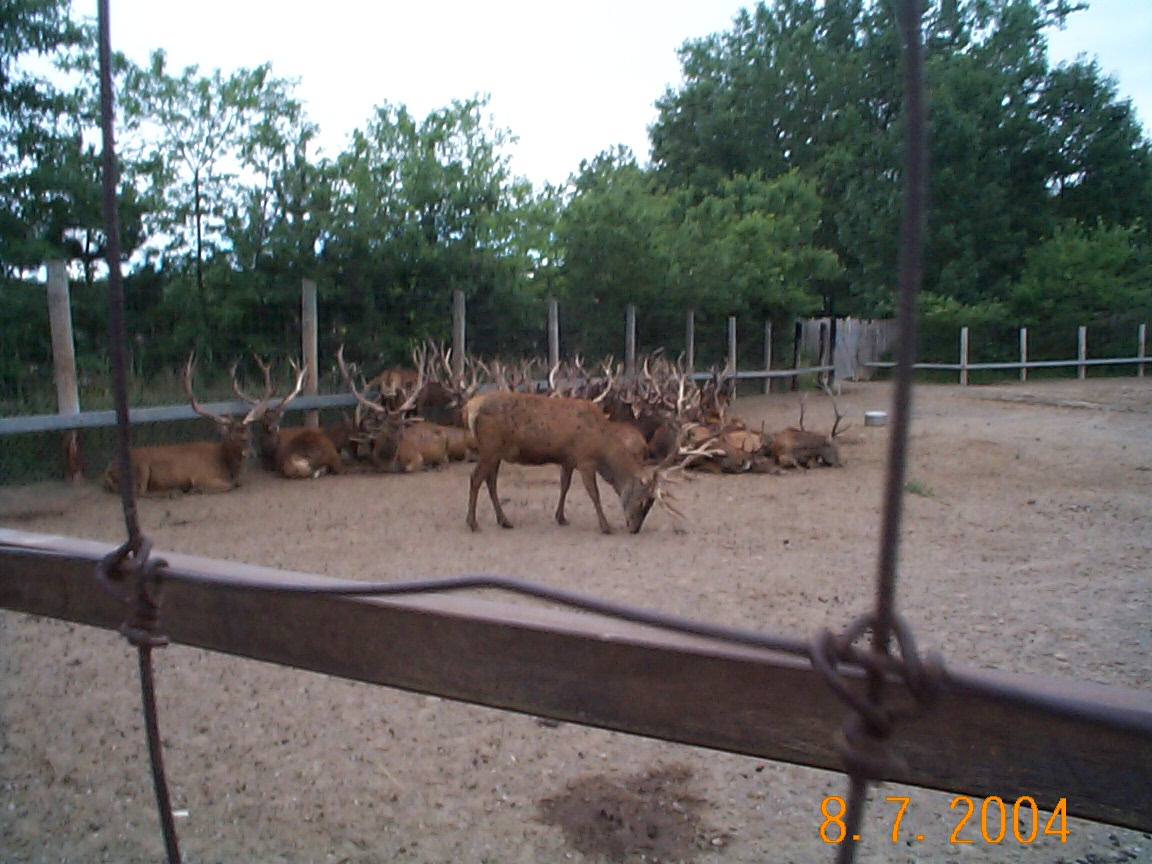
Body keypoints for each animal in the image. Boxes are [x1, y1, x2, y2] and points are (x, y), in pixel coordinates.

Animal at [104, 355, 263, 495]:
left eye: (250, 435)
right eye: (232, 437)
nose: (251, 454)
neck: (224, 465)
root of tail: (108, 469)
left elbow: (237, 483)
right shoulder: (201, 476)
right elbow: (229, 485)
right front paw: (194, 489)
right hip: (140, 467)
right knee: (139, 492)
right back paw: (174, 492)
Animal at [463, 390, 687, 534]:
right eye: (642, 501)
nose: (634, 528)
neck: (601, 445)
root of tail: (470, 407)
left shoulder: (568, 460)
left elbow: (565, 486)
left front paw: (561, 517)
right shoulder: (585, 459)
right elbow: (594, 493)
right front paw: (606, 526)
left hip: (495, 452)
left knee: (490, 481)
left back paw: (504, 521)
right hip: (490, 448)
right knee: (475, 478)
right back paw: (473, 523)